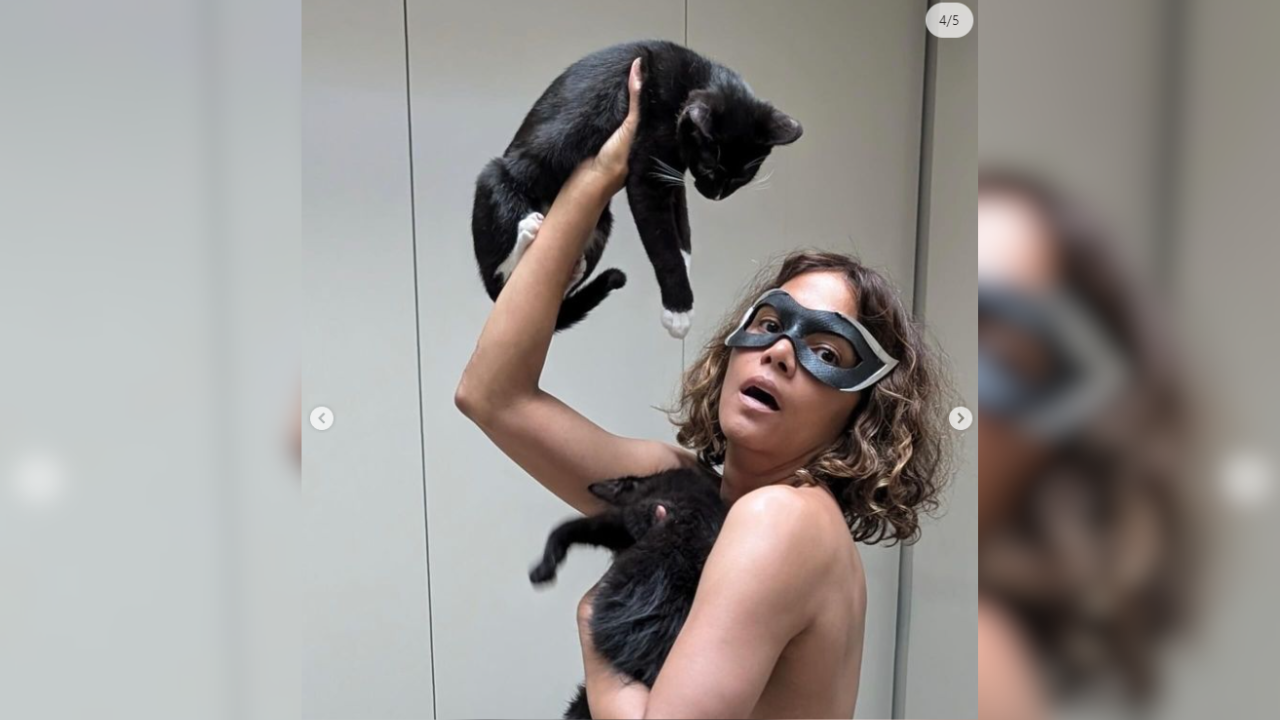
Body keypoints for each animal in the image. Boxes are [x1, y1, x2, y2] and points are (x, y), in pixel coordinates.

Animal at [472, 40, 803, 336]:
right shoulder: (649, 167)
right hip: (497, 181)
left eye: (740, 177)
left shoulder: (673, 174)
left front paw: (686, 259)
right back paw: (525, 234)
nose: (716, 194)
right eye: (710, 166)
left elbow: (681, 223)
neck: (692, 78)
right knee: (501, 279)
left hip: (600, 225)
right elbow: (662, 242)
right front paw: (679, 310)